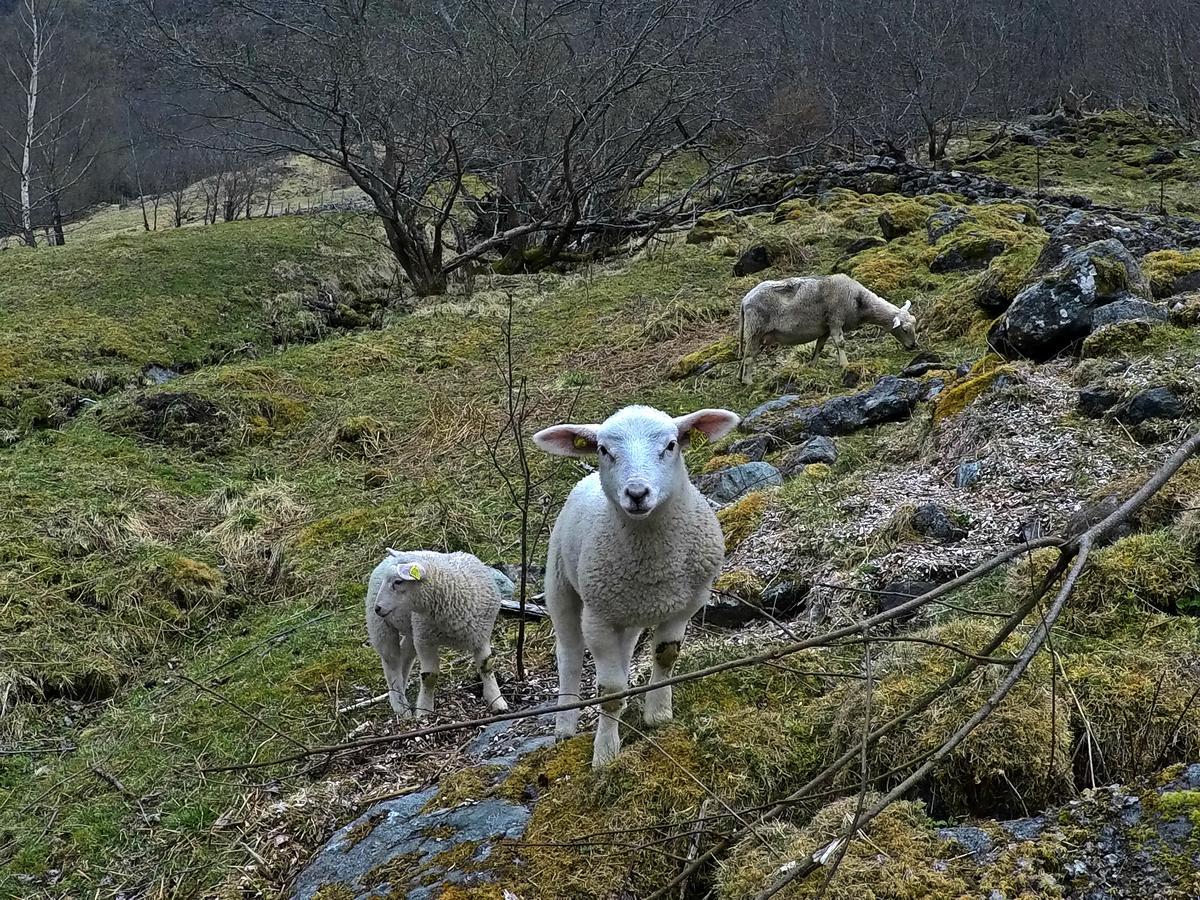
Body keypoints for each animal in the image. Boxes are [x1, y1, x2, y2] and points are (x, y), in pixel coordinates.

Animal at [362, 549, 508, 720]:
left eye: (398, 582)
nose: (377, 608)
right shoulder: (425, 641)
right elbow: (429, 677)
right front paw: (424, 711)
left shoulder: (481, 635)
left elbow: (486, 667)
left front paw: (497, 701)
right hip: (381, 626)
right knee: (391, 664)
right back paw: (401, 707)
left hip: (413, 630)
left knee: (404, 655)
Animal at [535, 405, 739, 763]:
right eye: (604, 450)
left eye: (671, 445)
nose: (637, 494)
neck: (654, 561)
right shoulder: (598, 619)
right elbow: (610, 691)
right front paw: (605, 753)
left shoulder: (686, 604)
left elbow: (666, 657)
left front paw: (658, 715)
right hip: (561, 584)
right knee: (570, 654)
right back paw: (565, 725)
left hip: (625, 610)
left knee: (625, 649)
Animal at [729, 274, 916, 388]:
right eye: (905, 329)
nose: (914, 346)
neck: (860, 302)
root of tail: (744, 300)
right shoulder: (835, 320)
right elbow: (841, 342)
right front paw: (845, 364)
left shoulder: (825, 328)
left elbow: (819, 346)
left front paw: (812, 365)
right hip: (756, 330)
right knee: (749, 357)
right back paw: (748, 381)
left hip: (755, 334)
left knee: (746, 354)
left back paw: (740, 377)